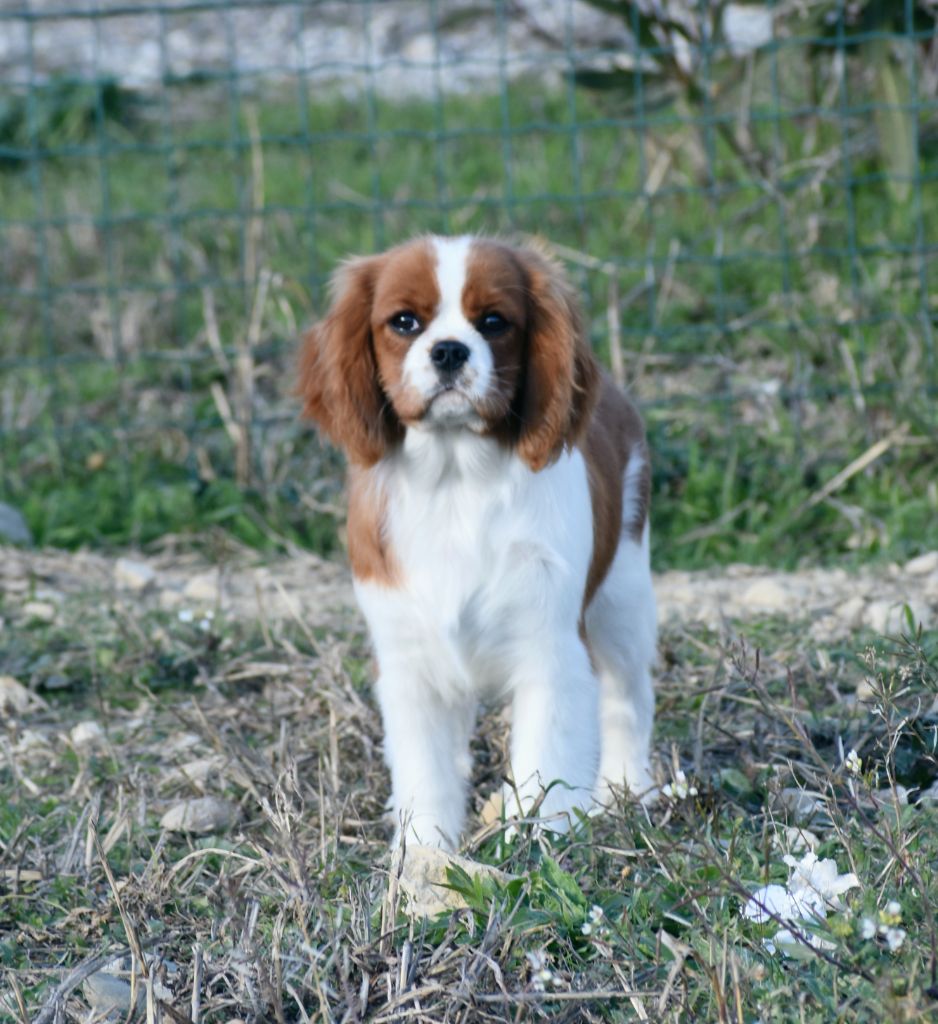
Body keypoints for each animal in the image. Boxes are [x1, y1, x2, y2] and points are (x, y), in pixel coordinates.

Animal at [296, 234, 655, 847]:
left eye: (493, 322)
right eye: (404, 322)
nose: (448, 351)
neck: (455, 482)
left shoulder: (551, 651)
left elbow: (547, 764)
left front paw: (539, 842)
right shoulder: (411, 664)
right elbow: (427, 773)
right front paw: (424, 854)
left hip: (624, 597)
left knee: (629, 696)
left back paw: (628, 791)